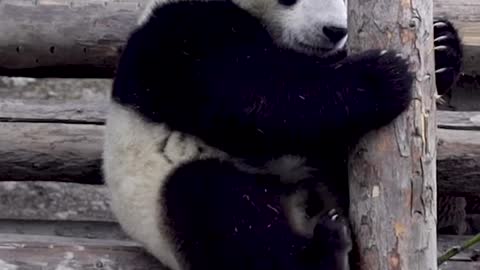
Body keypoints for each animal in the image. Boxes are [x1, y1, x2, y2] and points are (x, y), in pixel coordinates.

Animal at [104, 0, 462, 268]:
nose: (335, 31)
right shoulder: (181, 36)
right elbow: (252, 99)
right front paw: (380, 78)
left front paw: (441, 46)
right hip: (158, 205)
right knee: (216, 204)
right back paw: (325, 255)